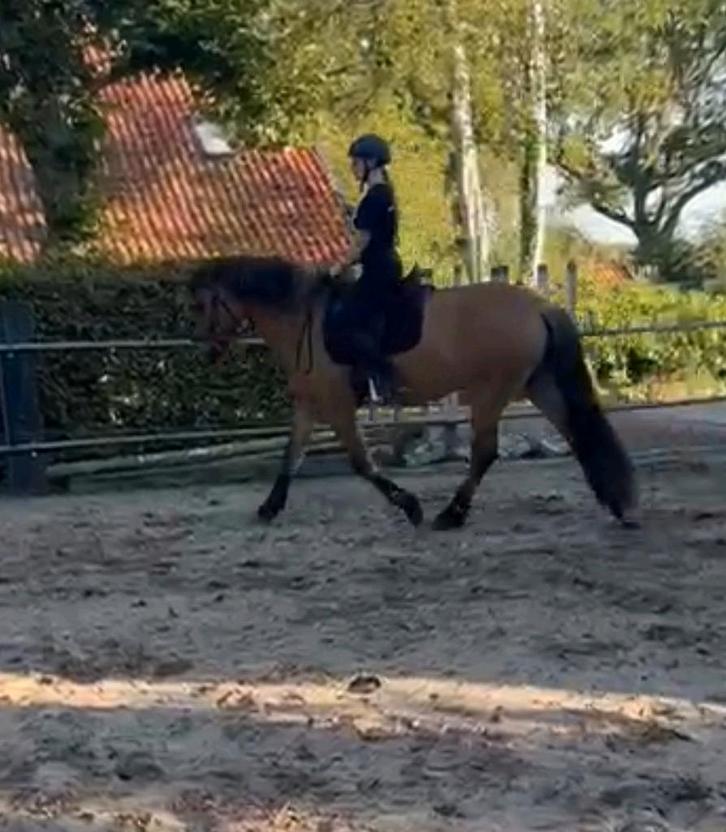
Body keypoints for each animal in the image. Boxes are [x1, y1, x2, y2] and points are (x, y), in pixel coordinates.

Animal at [188, 253, 638, 530]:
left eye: (201, 305)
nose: (204, 351)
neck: (305, 320)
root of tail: (537, 306)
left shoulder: (337, 404)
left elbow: (362, 464)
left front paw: (411, 506)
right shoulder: (308, 403)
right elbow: (291, 456)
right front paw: (269, 508)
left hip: (492, 389)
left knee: (485, 452)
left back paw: (451, 514)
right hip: (536, 384)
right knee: (577, 432)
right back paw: (617, 503)